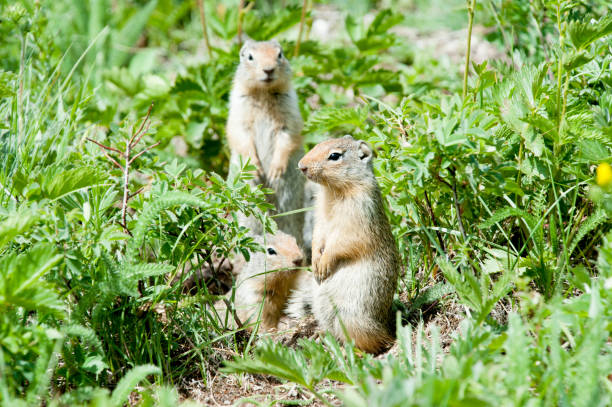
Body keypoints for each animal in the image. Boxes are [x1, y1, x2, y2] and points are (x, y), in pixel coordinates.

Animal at [226, 39, 304, 249]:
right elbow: (240, 136)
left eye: (280, 54)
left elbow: (288, 137)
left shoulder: (290, 114)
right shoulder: (238, 111)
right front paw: (256, 168)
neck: (263, 93)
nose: (268, 70)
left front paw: (276, 170)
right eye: (250, 57)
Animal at [290, 136, 402, 354]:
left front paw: (324, 264)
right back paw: (320, 336)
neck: (334, 191)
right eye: (318, 144)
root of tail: (387, 327)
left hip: (350, 317)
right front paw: (315, 262)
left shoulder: (358, 218)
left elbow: (344, 243)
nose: (301, 166)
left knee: (375, 343)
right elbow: (318, 236)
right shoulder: (320, 218)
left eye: (334, 156)